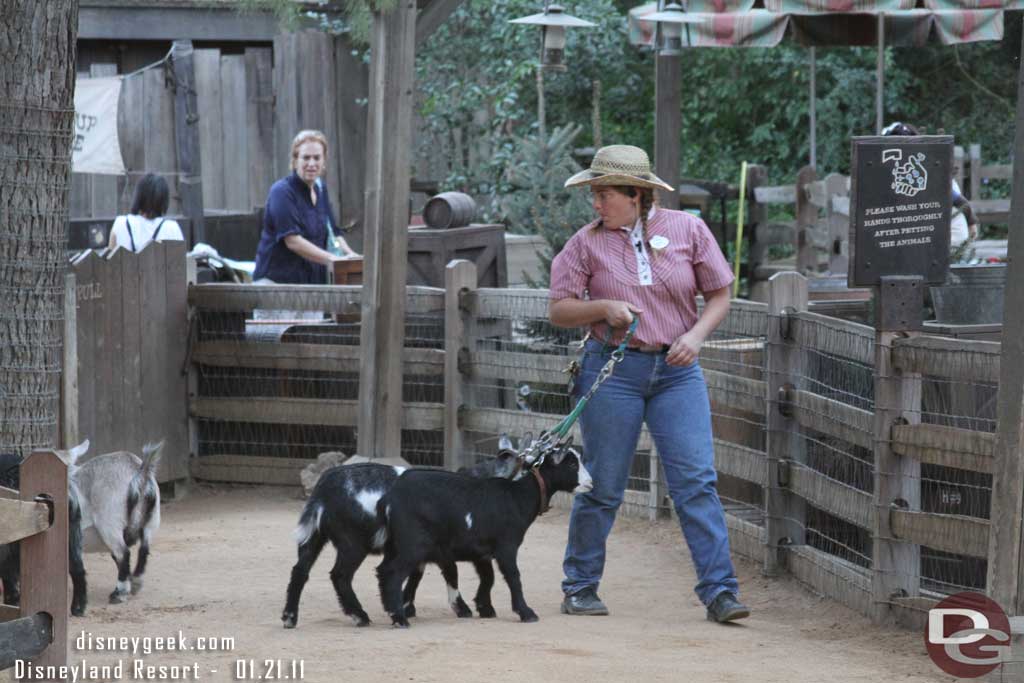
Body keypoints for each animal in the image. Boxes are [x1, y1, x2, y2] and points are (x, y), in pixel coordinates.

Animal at [280, 448, 520, 630]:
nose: (509, 455)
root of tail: (325, 488)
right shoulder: (442, 549)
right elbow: (454, 573)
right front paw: (463, 608)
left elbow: (417, 575)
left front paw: (405, 606)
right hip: (353, 544)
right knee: (340, 575)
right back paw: (360, 615)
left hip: (314, 538)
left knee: (299, 571)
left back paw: (290, 617)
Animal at [376, 444, 589, 630]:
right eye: (572, 464)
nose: (590, 483)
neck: (518, 498)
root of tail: (389, 499)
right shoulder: (506, 546)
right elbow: (513, 576)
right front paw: (526, 612)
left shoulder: (481, 552)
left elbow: (489, 578)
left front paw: (484, 607)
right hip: (412, 544)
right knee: (393, 573)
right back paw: (399, 618)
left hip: (396, 545)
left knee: (383, 570)